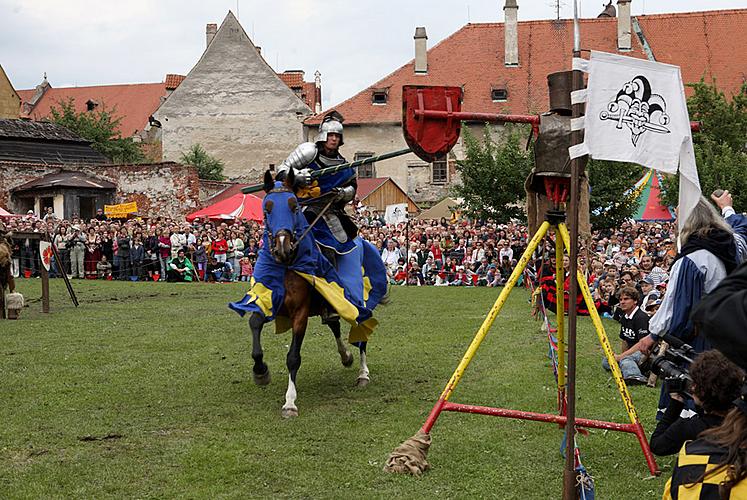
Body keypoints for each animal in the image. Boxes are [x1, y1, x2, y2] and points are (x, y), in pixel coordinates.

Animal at [247, 170, 372, 420]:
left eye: (294, 206)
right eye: (267, 209)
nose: (283, 248)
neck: (287, 265)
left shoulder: (300, 314)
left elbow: (293, 357)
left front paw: (289, 403)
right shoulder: (267, 303)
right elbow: (254, 323)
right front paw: (261, 372)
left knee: (360, 332)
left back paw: (363, 374)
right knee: (334, 324)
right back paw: (345, 356)